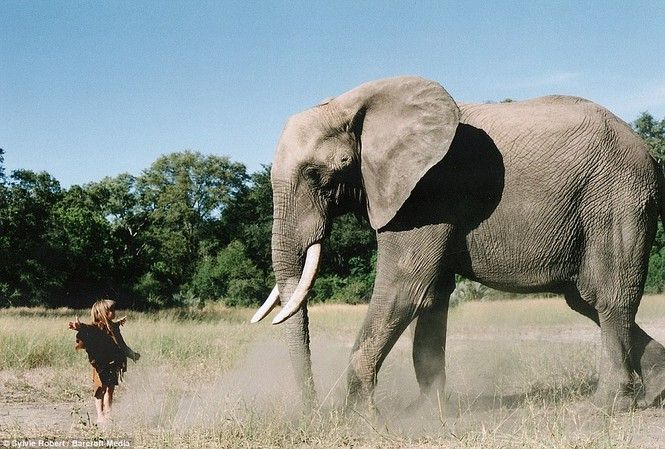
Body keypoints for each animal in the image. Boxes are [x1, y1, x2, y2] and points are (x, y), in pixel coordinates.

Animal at [250, 75, 664, 412]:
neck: (352, 102)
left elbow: (405, 287)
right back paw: (656, 391)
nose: (315, 411)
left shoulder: (426, 194)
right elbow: (432, 295)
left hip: (617, 197)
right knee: (583, 299)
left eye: (321, 172)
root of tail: (646, 148)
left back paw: (604, 407)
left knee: (606, 296)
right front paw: (425, 412)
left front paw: (359, 418)